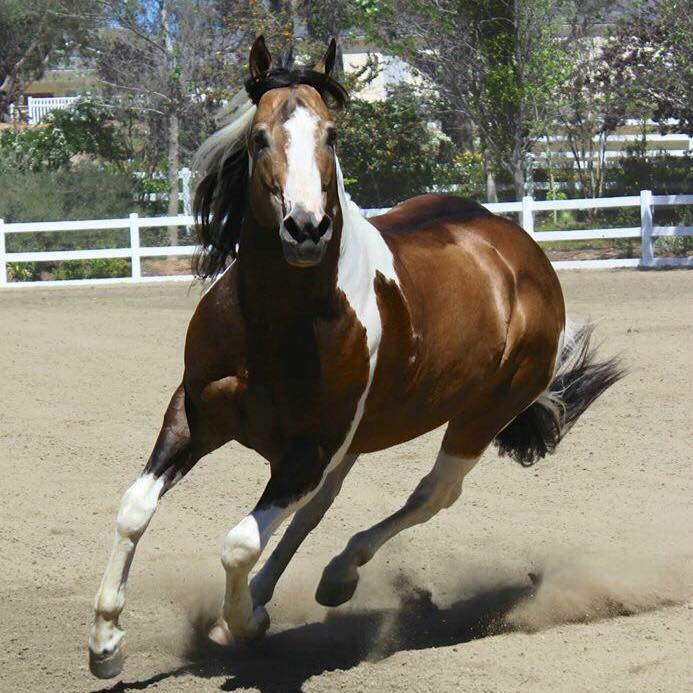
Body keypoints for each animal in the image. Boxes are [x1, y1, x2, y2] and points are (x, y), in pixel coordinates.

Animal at [87, 36, 623, 679]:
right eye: (259, 136)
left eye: (332, 135)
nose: (306, 228)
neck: (274, 326)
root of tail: (521, 253)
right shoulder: (195, 416)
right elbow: (135, 508)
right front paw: (106, 646)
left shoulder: (308, 451)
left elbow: (238, 543)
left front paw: (246, 624)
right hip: (358, 438)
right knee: (319, 508)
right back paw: (280, 591)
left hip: (477, 417)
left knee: (432, 495)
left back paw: (336, 576)